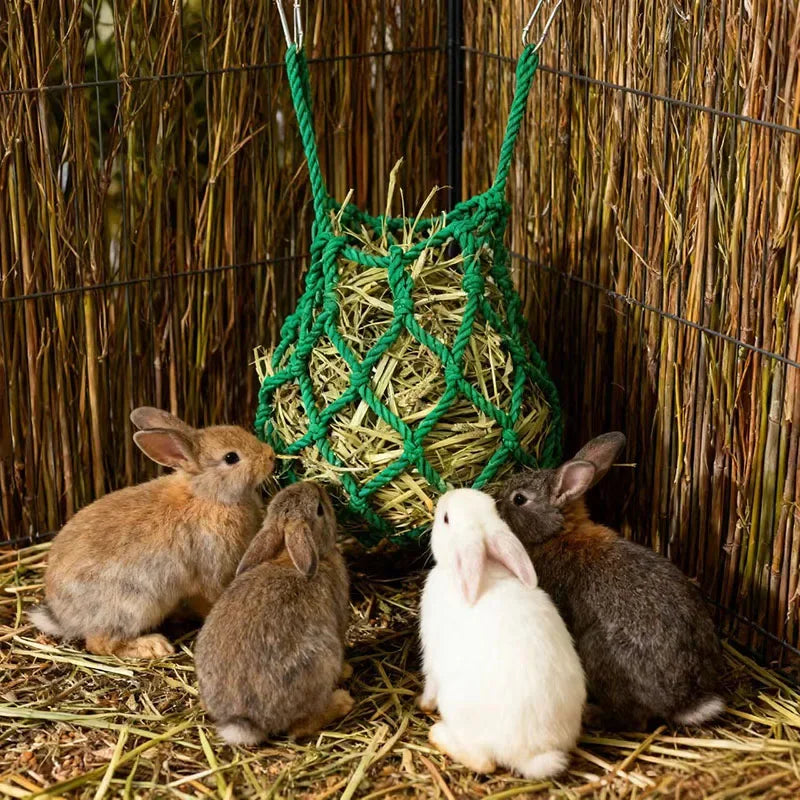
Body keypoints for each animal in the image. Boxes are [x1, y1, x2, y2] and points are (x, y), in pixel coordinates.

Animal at [28, 407, 275, 659]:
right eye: (231, 458)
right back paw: (153, 646)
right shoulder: (211, 572)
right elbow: (212, 598)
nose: (270, 455)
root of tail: (63, 618)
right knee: (100, 644)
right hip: (133, 606)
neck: (207, 495)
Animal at [194, 481, 352, 745]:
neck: (288, 557)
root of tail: (245, 721)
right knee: (301, 726)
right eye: (319, 509)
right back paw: (342, 702)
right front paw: (347, 670)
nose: (315, 484)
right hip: (320, 662)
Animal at [418, 488, 586, 780]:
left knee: (484, 762)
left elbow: (429, 683)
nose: (447, 495)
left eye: (446, 519)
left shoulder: (431, 656)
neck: (485, 572)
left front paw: (422, 704)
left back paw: (438, 735)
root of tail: (530, 754)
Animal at [495, 432, 726, 731]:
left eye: (519, 499)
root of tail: (685, 701)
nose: (496, 502)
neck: (557, 534)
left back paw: (593, 715)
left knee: (634, 720)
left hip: (598, 651)